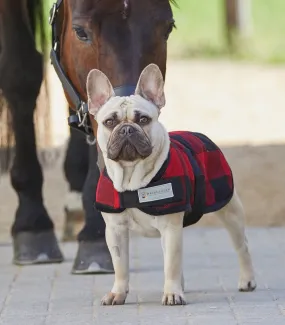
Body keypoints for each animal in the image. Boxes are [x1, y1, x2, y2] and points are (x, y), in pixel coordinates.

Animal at [86, 62, 255, 304]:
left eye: (143, 119)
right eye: (110, 122)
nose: (127, 129)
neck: (132, 177)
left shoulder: (171, 227)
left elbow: (172, 264)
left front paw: (172, 293)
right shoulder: (116, 230)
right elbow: (120, 266)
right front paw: (117, 293)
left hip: (230, 212)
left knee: (242, 247)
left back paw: (247, 280)